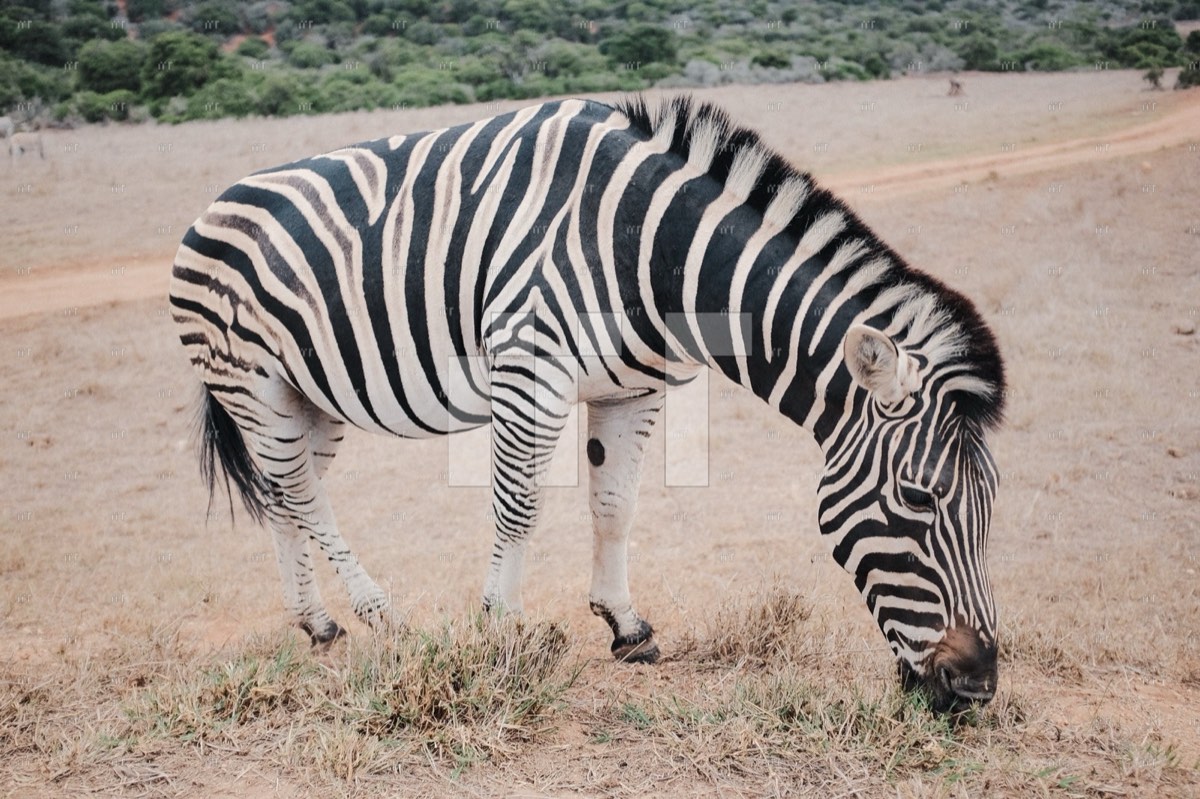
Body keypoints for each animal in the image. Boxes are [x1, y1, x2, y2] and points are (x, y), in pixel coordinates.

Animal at [169, 96, 1005, 711]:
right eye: (918, 497)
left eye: (988, 506)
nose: (977, 685)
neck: (655, 250)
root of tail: (210, 206)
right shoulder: (528, 369)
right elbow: (517, 508)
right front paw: (502, 633)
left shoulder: (633, 386)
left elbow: (615, 503)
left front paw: (624, 624)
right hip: (253, 383)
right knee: (303, 494)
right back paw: (380, 613)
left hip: (308, 398)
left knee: (286, 493)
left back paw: (318, 623)